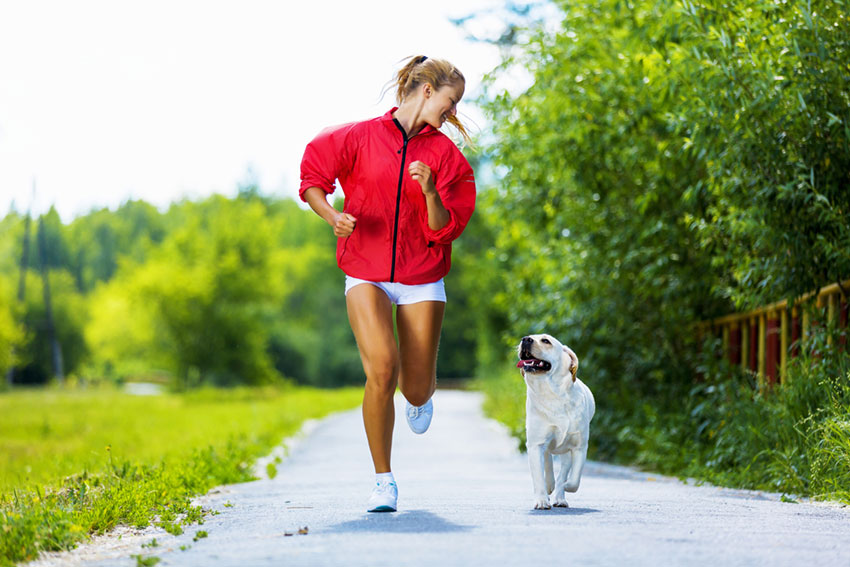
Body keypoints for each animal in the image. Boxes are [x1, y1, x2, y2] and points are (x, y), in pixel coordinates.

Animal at [512, 332, 592, 510]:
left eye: (546, 341)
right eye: (527, 338)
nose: (525, 339)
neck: (551, 394)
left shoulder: (579, 446)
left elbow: (574, 479)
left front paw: (566, 485)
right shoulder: (535, 444)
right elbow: (538, 477)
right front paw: (542, 500)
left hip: (566, 452)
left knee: (563, 471)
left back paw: (560, 496)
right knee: (548, 461)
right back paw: (550, 486)